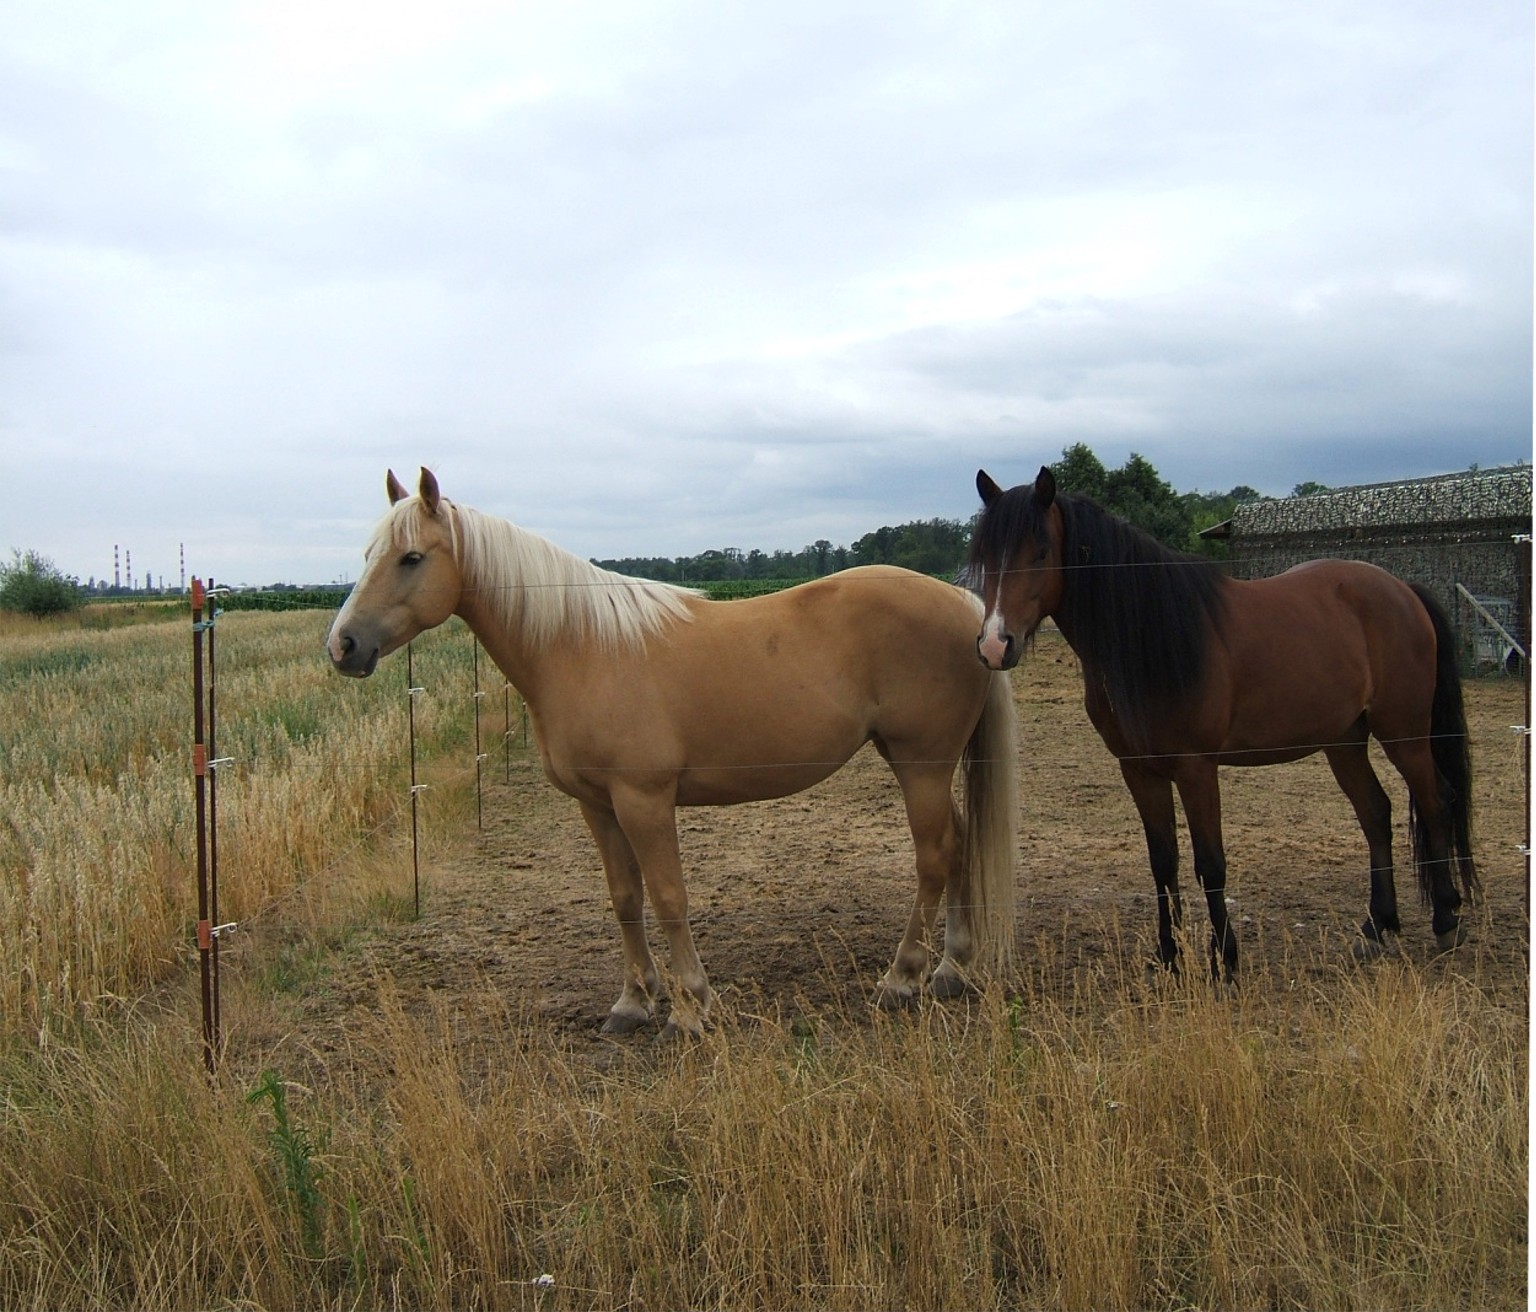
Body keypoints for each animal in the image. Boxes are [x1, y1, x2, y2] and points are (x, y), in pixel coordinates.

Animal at [325, 467, 1019, 1032]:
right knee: (959, 844)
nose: (343, 646)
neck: (581, 648)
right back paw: (951, 970)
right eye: (368, 554)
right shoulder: (598, 805)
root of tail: (968, 607)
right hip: (920, 763)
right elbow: (626, 898)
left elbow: (668, 896)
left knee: (935, 856)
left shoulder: (645, 800)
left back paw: (902, 978)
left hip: (921, 762)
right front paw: (633, 1003)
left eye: (411, 557)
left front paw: (690, 1005)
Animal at [970, 467, 1474, 983]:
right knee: (1375, 814)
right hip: (1345, 740)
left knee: (1436, 802)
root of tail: (1404, 590)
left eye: (1042, 551)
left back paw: (1446, 920)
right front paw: (1168, 956)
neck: (1158, 637)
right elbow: (1163, 862)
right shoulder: (1140, 769)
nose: (994, 645)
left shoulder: (1196, 768)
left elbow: (1210, 864)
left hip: (1405, 734)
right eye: (984, 554)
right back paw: (1376, 927)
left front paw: (1225, 960)